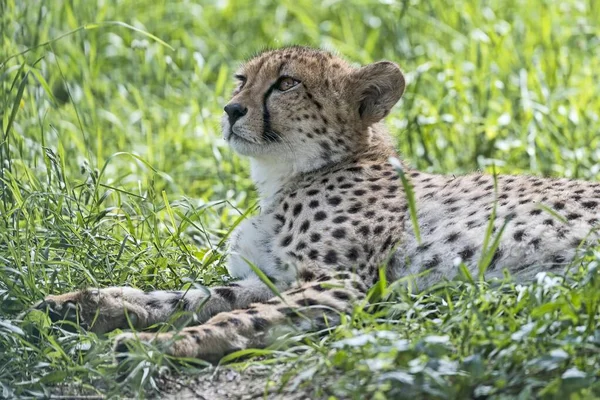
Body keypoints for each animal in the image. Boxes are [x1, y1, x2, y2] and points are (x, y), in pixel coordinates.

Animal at [38, 46, 600, 360]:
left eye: (286, 84)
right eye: (243, 79)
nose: (230, 109)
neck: (284, 176)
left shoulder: (336, 286)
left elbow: (232, 319)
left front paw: (158, 348)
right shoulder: (276, 277)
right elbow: (194, 296)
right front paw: (92, 304)